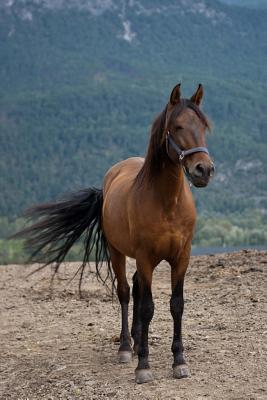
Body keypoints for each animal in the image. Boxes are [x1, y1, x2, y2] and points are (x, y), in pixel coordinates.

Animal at [15, 83, 216, 384]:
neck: (167, 203)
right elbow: (147, 307)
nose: (204, 170)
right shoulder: (144, 257)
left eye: (204, 125)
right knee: (125, 291)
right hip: (117, 252)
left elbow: (176, 304)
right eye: (177, 126)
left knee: (136, 288)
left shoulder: (182, 257)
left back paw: (136, 339)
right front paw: (143, 366)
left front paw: (179, 361)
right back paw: (126, 347)